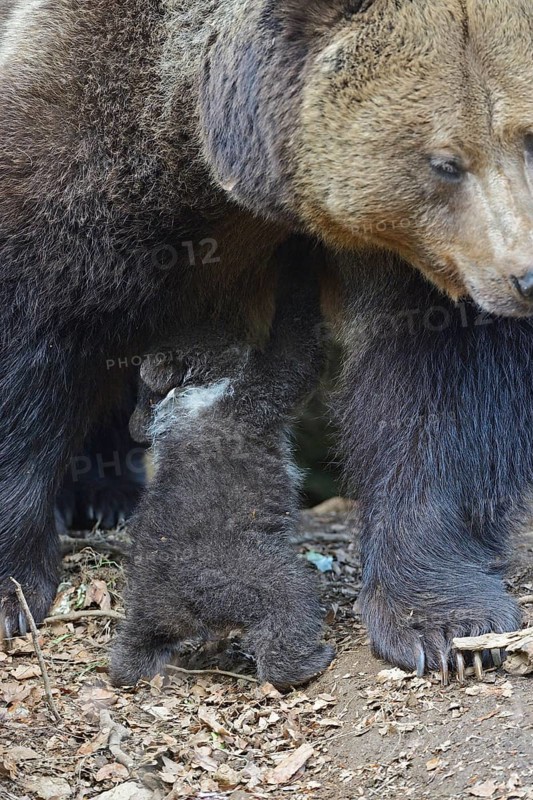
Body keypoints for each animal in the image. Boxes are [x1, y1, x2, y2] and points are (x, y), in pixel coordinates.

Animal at [109, 262, 334, 688]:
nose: (229, 315)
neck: (195, 391)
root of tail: (181, 607)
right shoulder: (253, 398)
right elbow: (293, 355)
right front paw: (299, 264)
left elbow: (141, 423)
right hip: (243, 574)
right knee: (288, 598)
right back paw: (306, 663)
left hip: (144, 601)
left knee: (134, 640)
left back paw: (123, 672)